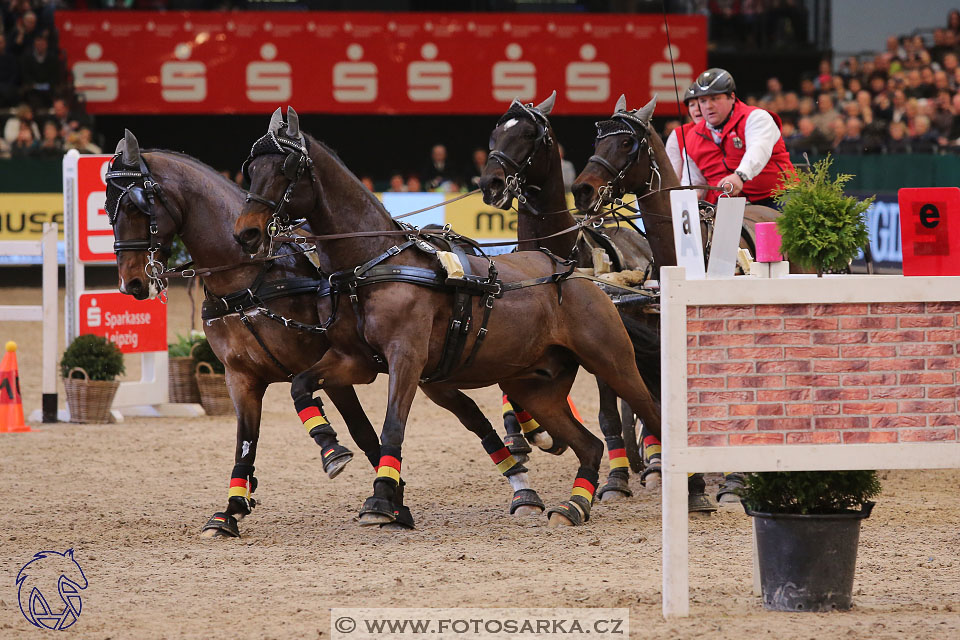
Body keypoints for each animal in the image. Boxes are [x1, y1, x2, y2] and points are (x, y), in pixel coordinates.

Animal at [236, 110, 664, 528]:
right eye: (251, 169)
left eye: (286, 169)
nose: (246, 233)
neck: (371, 264)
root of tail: (579, 275)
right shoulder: (355, 361)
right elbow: (301, 385)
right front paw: (329, 443)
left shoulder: (406, 358)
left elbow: (393, 425)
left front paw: (380, 500)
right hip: (536, 387)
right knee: (588, 445)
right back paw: (574, 505)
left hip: (612, 363)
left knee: (650, 413)